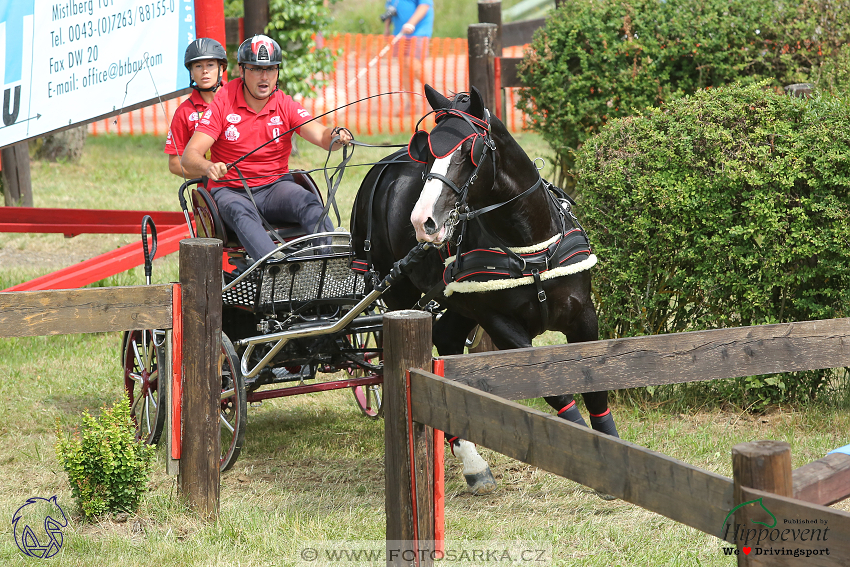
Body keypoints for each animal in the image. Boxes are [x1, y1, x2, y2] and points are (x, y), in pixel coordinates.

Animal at [350, 85, 616, 496]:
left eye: (467, 152)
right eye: (428, 152)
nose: (422, 221)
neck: (530, 245)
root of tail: (383, 167)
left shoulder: (582, 314)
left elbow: (596, 385)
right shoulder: (501, 325)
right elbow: (554, 388)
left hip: (457, 302)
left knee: (445, 337)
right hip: (397, 293)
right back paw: (470, 459)